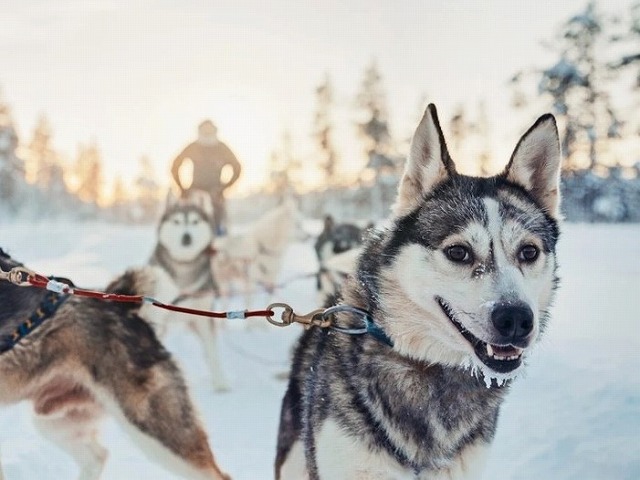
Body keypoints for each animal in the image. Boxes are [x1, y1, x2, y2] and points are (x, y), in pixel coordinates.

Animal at [147, 191, 230, 394]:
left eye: (194, 221)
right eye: (177, 222)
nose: (186, 237)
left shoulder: (204, 317)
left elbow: (212, 351)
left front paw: (220, 382)